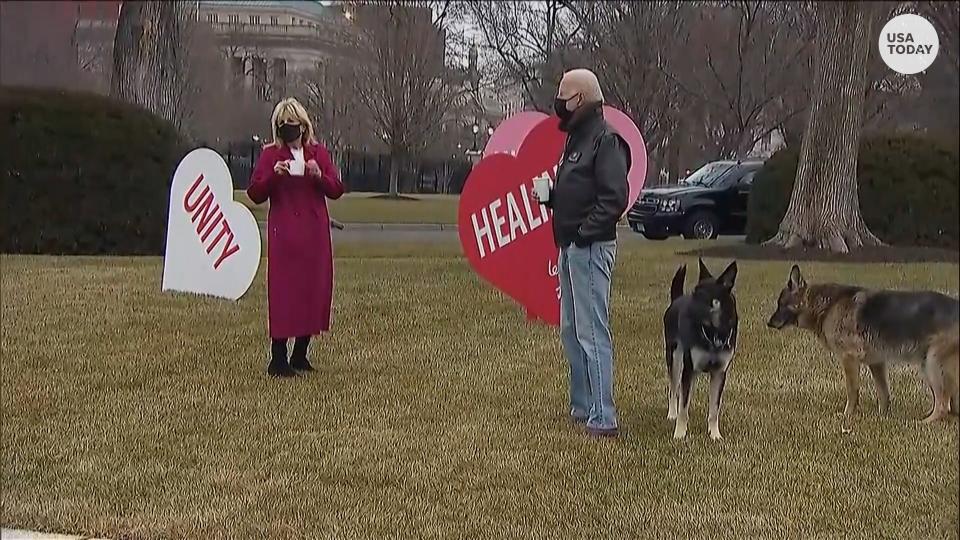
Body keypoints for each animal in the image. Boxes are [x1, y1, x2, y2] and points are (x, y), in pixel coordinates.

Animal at [764, 264, 960, 422]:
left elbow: (852, 391)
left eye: (781, 304)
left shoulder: (849, 358)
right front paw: (883, 416)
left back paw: (923, 422)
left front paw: (847, 415)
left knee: (943, 405)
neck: (825, 306)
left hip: (932, 364)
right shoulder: (877, 363)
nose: (768, 323)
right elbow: (883, 393)